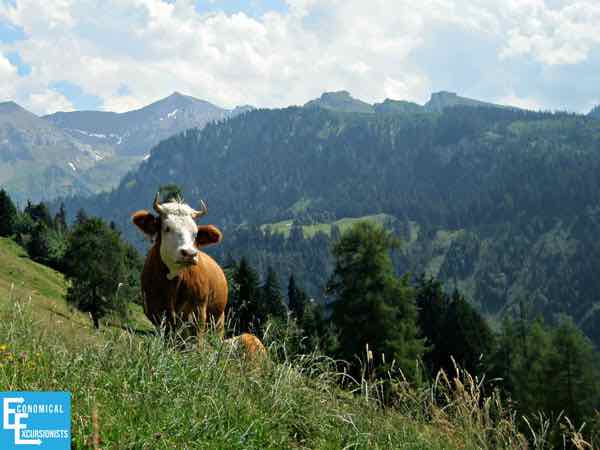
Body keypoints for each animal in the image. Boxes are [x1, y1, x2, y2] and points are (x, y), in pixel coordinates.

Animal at [132, 194, 229, 342]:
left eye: (195, 233)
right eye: (167, 228)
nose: (189, 253)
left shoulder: (198, 311)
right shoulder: (156, 312)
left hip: (218, 321)